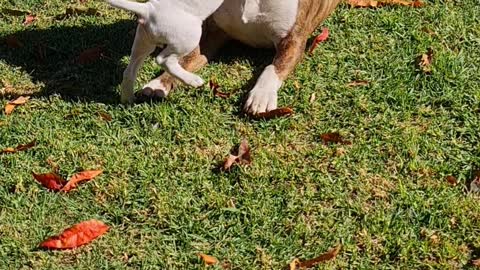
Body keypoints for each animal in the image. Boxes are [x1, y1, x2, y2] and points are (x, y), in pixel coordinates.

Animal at [120, 0, 340, 114]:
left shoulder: (293, 39)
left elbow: (274, 67)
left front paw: (261, 95)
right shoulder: (212, 36)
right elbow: (186, 60)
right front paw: (160, 83)